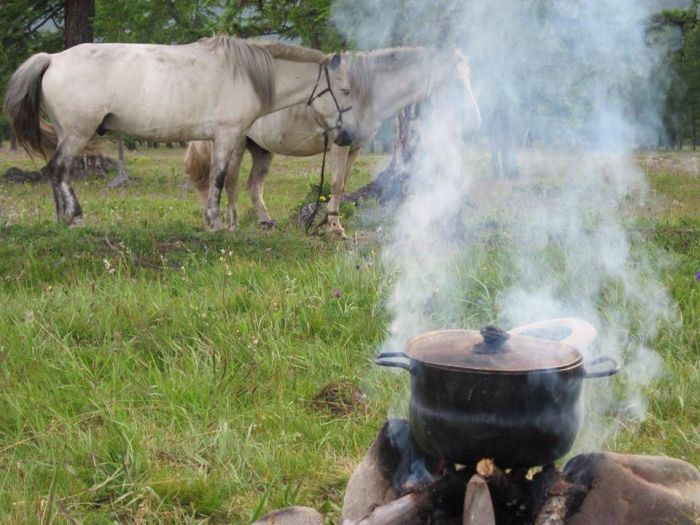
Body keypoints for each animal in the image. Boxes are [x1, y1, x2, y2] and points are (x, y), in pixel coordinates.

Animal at [4, 36, 356, 225]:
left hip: (66, 131)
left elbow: (223, 179)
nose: (347, 136)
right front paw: (215, 221)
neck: (246, 74)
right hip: (79, 131)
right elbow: (219, 178)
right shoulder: (227, 135)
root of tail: (51, 58)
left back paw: (61, 219)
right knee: (59, 169)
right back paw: (75, 216)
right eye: (346, 91)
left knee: (56, 172)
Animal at [186, 47, 482, 235]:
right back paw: (234, 226)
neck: (363, 92)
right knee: (232, 181)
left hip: (261, 149)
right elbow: (337, 183)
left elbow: (343, 184)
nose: (475, 122)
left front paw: (333, 224)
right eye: (454, 82)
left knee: (254, 185)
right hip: (235, 143)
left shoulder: (355, 146)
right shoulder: (340, 144)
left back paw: (266, 223)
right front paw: (334, 228)